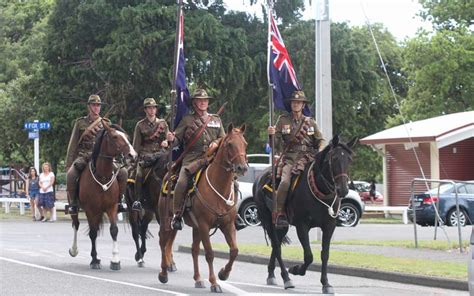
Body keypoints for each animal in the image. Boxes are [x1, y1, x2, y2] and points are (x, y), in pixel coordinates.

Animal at [67, 121, 137, 270]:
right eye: (115, 137)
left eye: (127, 137)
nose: (132, 155)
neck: (102, 176)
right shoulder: (90, 209)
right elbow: (93, 233)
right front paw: (94, 260)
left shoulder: (112, 207)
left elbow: (114, 230)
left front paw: (115, 260)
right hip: (75, 207)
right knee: (76, 224)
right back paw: (75, 250)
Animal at [158, 123, 248, 292]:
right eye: (229, 144)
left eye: (245, 144)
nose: (242, 167)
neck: (220, 187)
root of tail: (169, 173)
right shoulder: (205, 225)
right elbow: (209, 253)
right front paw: (214, 283)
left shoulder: (227, 225)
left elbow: (234, 251)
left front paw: (223, 274)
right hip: (167, 220)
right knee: (163, 242)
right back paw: (164, 273)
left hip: (195, 227)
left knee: (193, 249)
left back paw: (198, 279)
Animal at [254, 136, 358, 294]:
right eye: (334, 158)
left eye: (350, 159)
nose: (343, 190)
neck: (319, 189)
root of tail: (260, 177)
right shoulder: (302, 226)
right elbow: (309, 256)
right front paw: (296, 269)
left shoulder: (329, 226)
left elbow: (325, 254)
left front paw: (326, 284)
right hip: (267, 219)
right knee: (277, 246)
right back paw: (286, 278)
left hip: (281, 225)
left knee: (276, 244)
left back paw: (271, 274)